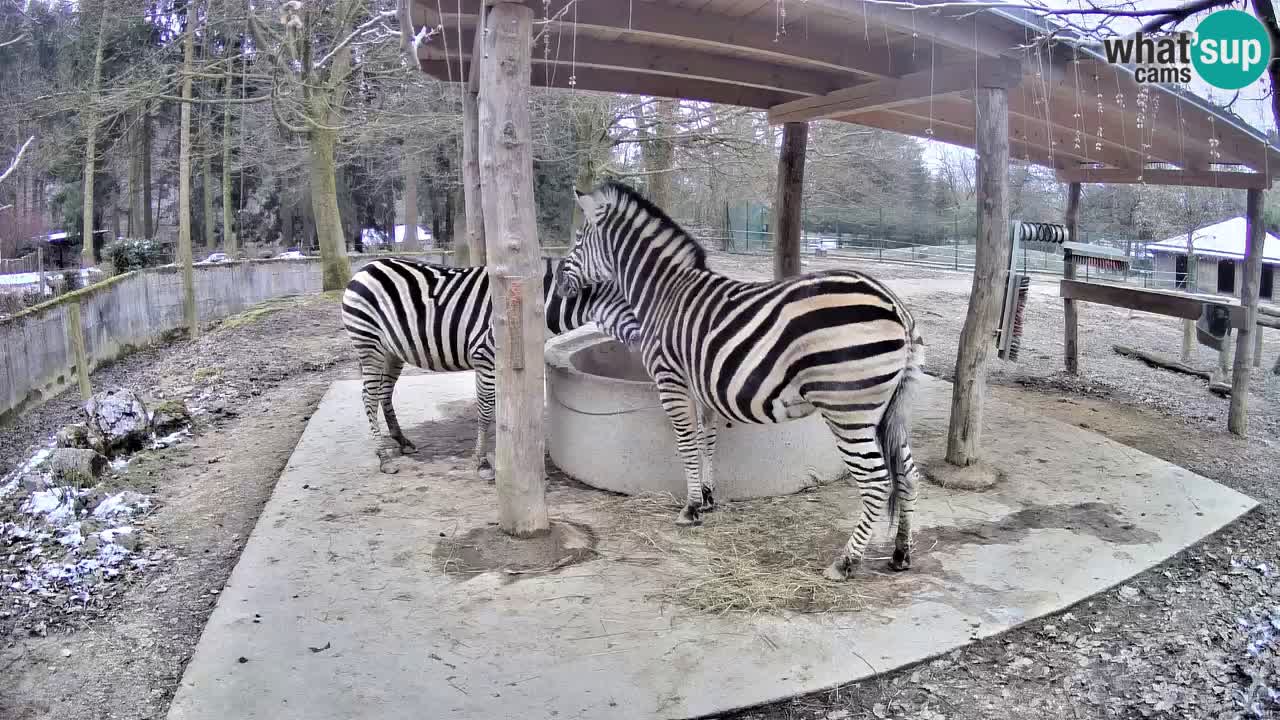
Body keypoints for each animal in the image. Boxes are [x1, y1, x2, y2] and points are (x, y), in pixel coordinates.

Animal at [340, 254, 640, 474]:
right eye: (633, 303)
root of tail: (366, 267)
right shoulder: (485, 356)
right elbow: (485, 410)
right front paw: (483, 461)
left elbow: (496, 409)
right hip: (369, 343)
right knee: (369, 397)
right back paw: (384, 458)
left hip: (392, 350)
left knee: (384, 393)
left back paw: (401, 441)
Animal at [555, 181, 926, 579]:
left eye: (579, 238)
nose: (559, 283)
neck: (664, 294)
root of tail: (895, 305)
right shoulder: (701, 387)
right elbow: (706, 441)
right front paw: (707, 498)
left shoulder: (670, 380)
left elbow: (686, 445)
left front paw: (690, 509)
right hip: (890, 410)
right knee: (907, 474)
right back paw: (901, 553)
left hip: (849, 410)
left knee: (877, 482)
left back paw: (845, 562)